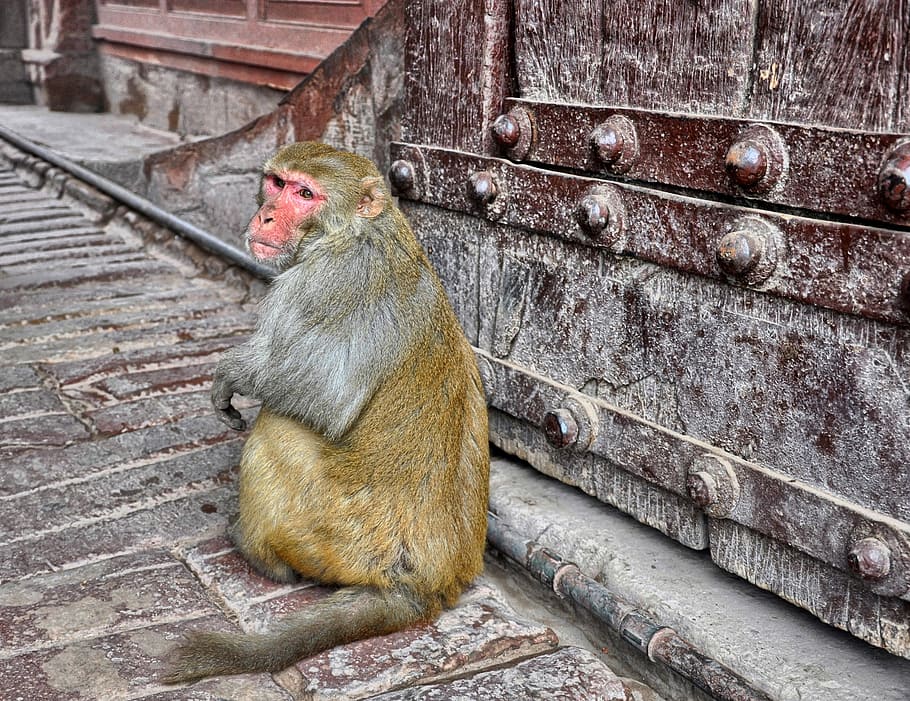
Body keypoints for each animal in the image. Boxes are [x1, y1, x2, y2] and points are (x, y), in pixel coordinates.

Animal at [162, 142, 489, 683]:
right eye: (276, 183)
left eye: (304, 194)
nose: (266, 215)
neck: (358, 229)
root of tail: (425, 588)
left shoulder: (323, 281)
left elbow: (326, 395)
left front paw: (232, 372)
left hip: (337, 538)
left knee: (277, 427)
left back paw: (257, 552)